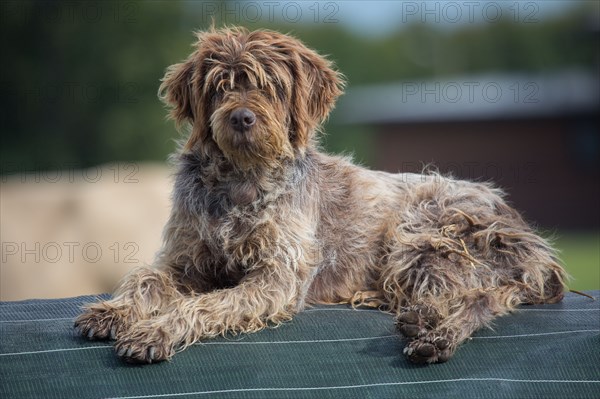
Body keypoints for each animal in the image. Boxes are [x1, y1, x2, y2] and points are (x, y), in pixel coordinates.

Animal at [75, 26, 568, 366]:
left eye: (271, 86)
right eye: (220, 85)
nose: (241, 118)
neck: (241, 181)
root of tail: (532, 240)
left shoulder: (274, 278)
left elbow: (207, 303)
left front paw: (155, 331)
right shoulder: (183, 259)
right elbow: (146, 277)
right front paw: (114, 311)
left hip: (425, 233)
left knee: (483, 297)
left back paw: (435, 333)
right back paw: (405, 311)